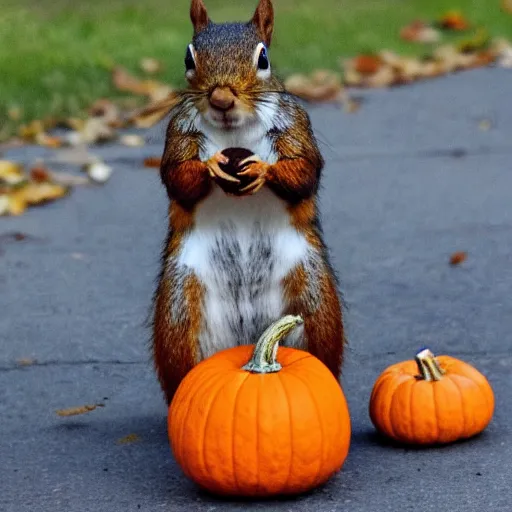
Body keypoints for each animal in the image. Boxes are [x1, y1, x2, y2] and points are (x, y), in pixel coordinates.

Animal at [151, 0, 344, 404]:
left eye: (264, 58)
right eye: (188, 57)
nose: (221, 99)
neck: (233, 133)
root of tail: (249, 338)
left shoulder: (295, 127)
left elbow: (304, 171)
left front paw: (265, 171)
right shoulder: (178, 135)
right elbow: (178, 178)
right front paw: (210, 166)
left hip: (315, 300)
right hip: (178, 310)